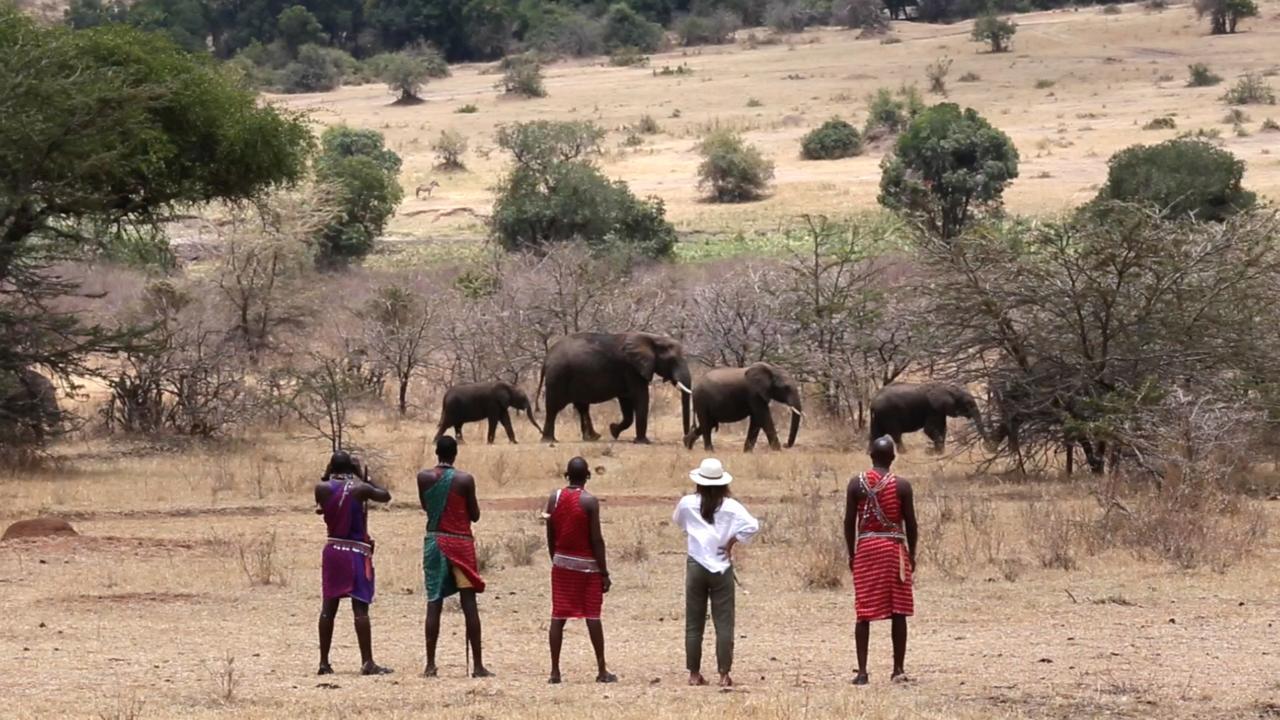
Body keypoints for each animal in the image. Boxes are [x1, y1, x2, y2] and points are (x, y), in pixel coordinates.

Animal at [537, 333, 691, 443]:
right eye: (673, 360)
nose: (685, 440)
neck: (652, 339)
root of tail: (546, 358)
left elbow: (626, 403)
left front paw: (613, 431)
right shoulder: (632, 369)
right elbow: (641, 397)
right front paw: (643, 442)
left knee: (582, 407)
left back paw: (593, 438)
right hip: (558, 377)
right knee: (553, 408)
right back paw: (549, 441)